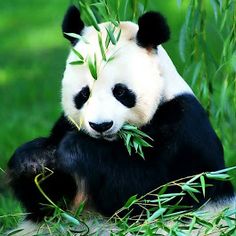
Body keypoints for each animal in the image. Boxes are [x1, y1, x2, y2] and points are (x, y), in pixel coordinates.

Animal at [6, 5, 234, 234]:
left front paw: (76, 149)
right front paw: (34, 159)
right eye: (83, 94)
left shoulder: (184, 128)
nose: (101, 126)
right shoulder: (65, 124)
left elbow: (154, 191)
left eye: (121, 92)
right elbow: (50, 203)